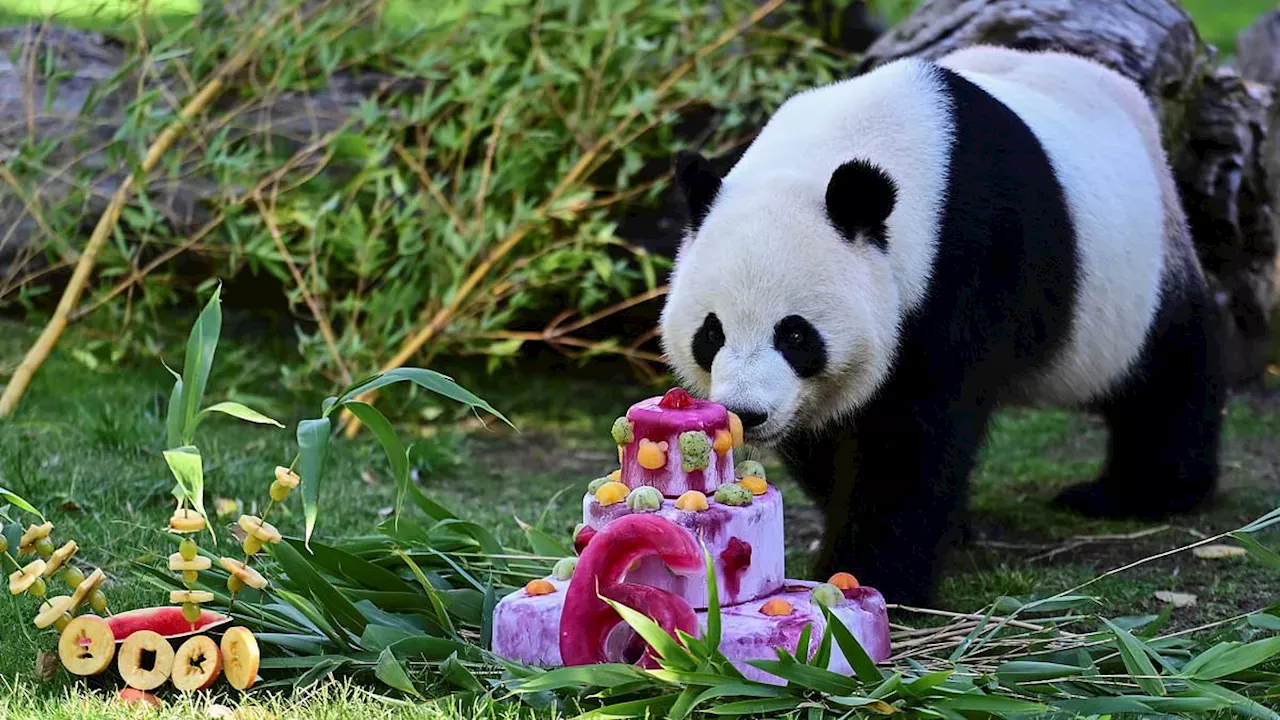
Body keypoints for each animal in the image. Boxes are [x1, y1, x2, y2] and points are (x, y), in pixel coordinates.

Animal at [658, 45, 1228, 607]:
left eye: (795, 334)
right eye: (712, 333)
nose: (746, 412)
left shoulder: (966, 263)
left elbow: (913, 431)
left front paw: (875, 575)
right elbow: (832, 432)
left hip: (1135, 271)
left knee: (1166, 369)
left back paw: (1143, 492)